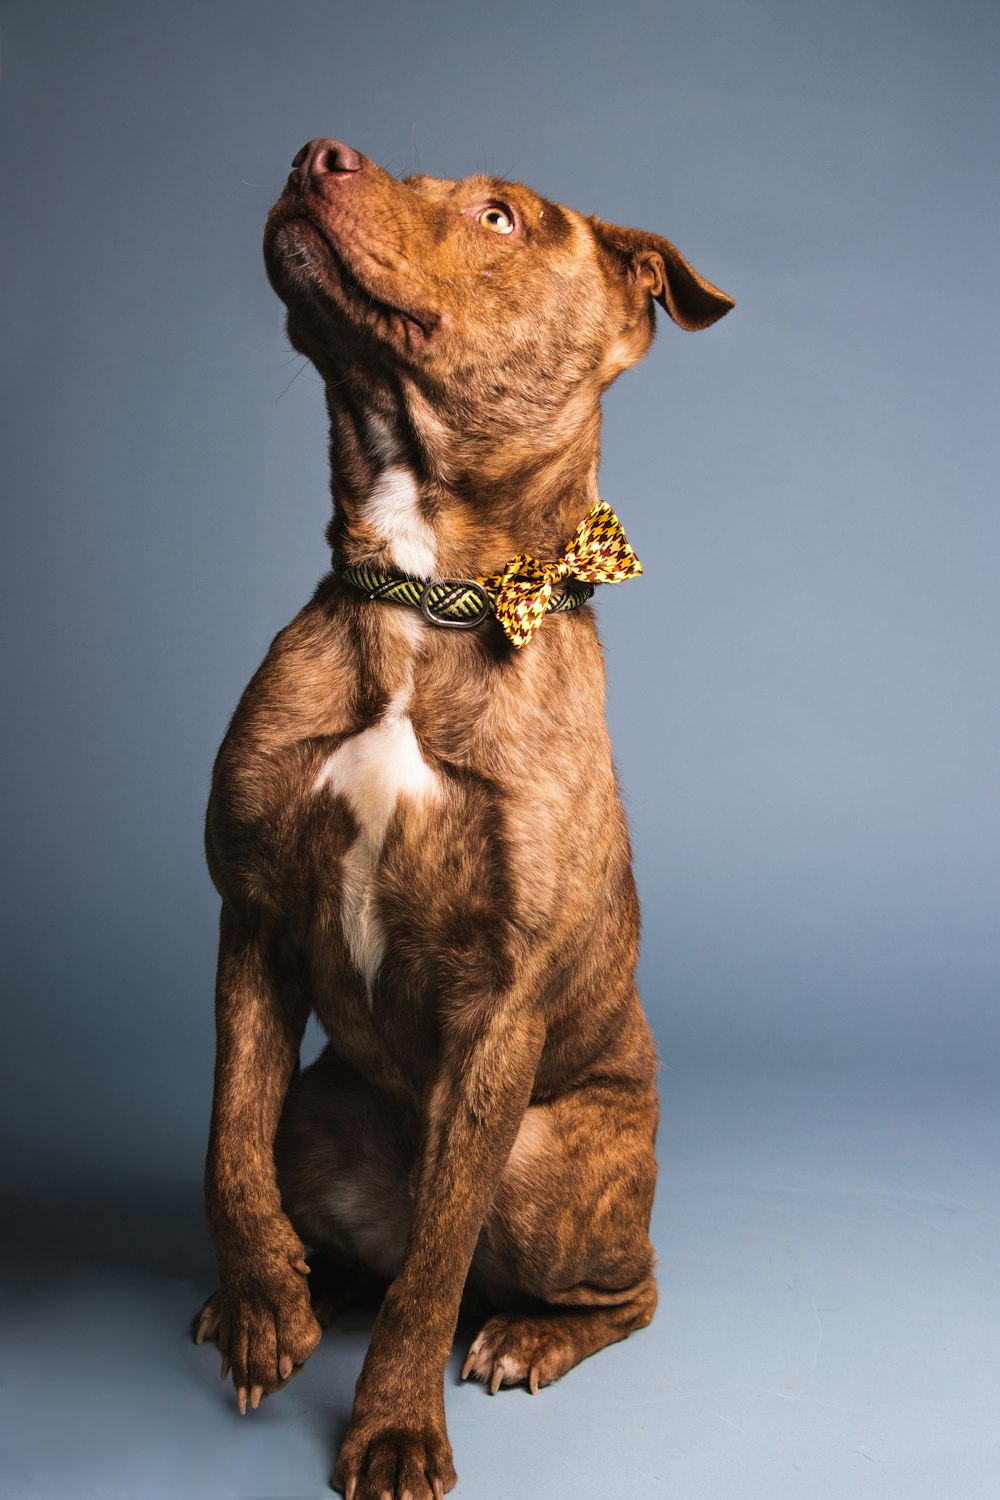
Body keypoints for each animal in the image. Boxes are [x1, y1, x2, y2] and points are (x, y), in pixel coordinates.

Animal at [191, 141, 731, 1500]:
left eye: (498, 217)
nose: (314, 154)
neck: (425, 590)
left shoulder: (498, 1015)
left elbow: (433, 1276)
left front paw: (391, 1428)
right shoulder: (251, 920)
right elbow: (226, 1138)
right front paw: (262, 1301)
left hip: (548, 1165)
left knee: (591, 1287)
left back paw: (531, 1334)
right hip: (323, 1113)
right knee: (331, 1213)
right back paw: (281, 1287)